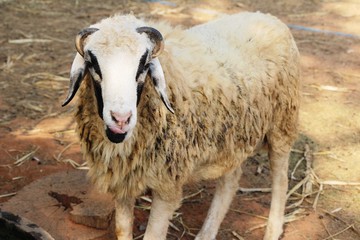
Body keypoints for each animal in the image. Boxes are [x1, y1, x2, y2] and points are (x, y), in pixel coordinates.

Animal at [62, 11, 300, 240]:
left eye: (144, 64)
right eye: (93, 63)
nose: (121, 119)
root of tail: (268, 17)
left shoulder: (167, 184)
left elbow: (153, 236)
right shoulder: (123, 179)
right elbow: (122, 230)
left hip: (282, 124)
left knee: (280, 180)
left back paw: (272, 231)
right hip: (233, 138)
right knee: (230, 181)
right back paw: (206, 234)